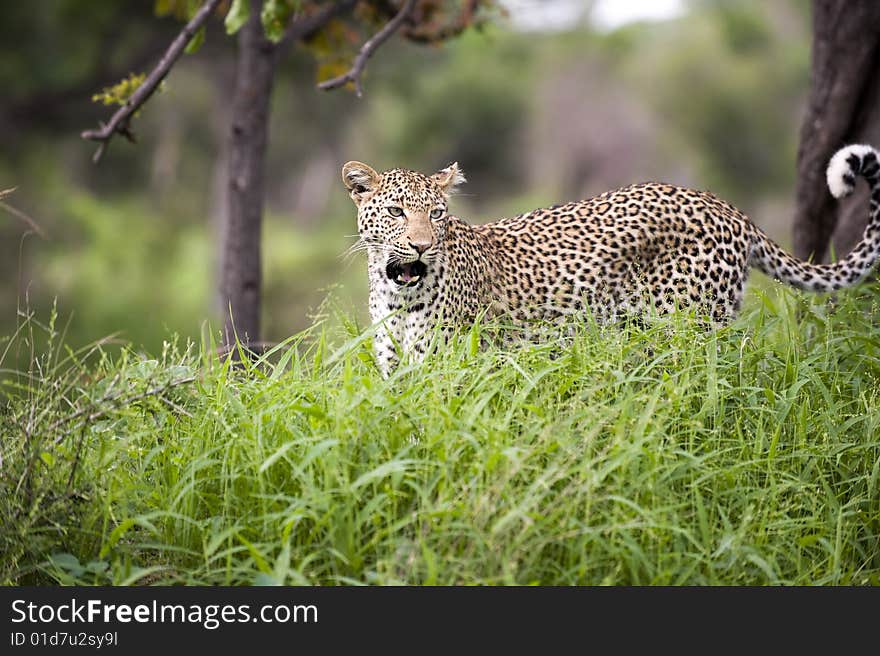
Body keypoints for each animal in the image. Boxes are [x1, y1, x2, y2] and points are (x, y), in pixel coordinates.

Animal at [342, 145, 880, 376]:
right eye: (395, 212)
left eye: (436, 214)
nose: (421, 245)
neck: (395, 292)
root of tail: (729, 208)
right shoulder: (396, 372)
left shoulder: (441, 368)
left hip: (687, 325)